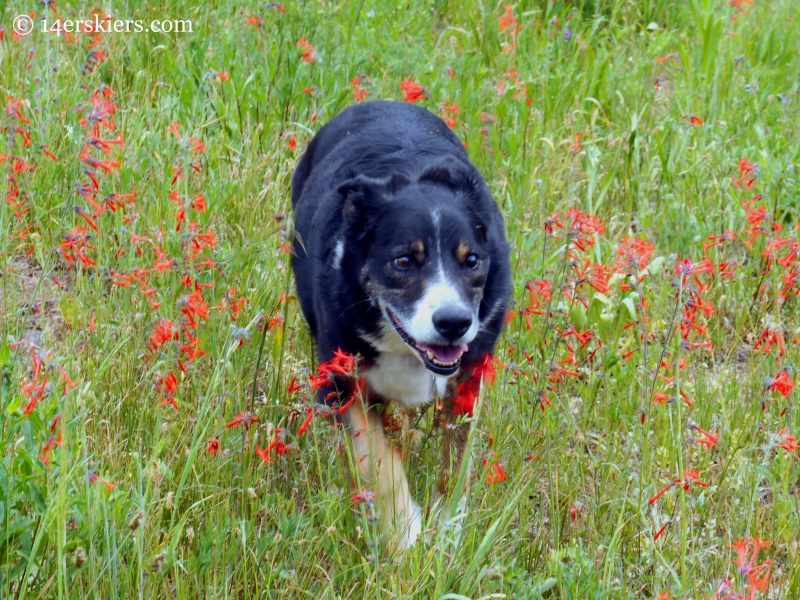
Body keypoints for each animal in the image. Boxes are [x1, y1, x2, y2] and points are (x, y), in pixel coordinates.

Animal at [290, 99, 510, 548]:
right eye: (404, 261)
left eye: (472, 260)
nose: (453, 323)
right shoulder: (340, 379)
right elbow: (378, 458)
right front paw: (405, 530)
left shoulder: (468, 378)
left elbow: (454, 463)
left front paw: (446, 531)